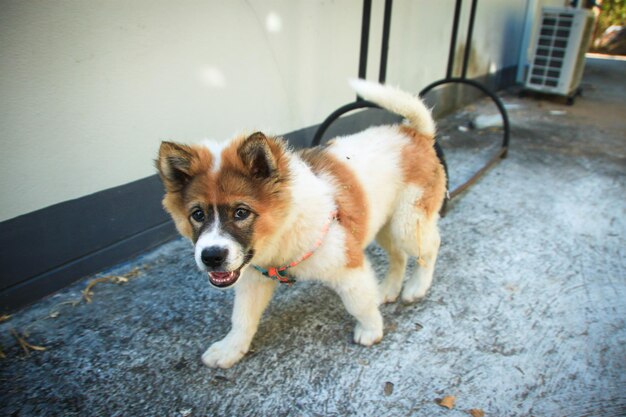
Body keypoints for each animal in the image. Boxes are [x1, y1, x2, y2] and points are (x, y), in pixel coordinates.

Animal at [158, 79, 446, 368]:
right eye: (197, 215)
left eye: (241, 212)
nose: (211, 257)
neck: (284, 231)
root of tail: (413, 132)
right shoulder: (253, 277)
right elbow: (242, 317)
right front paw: (231, 348)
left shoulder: (347, 264)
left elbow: (359, 304)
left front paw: (371, 330)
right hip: (384, 222)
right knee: (399, 254)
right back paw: (387, 289)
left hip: (407, 222)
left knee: (430, 247)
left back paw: (416, 287)